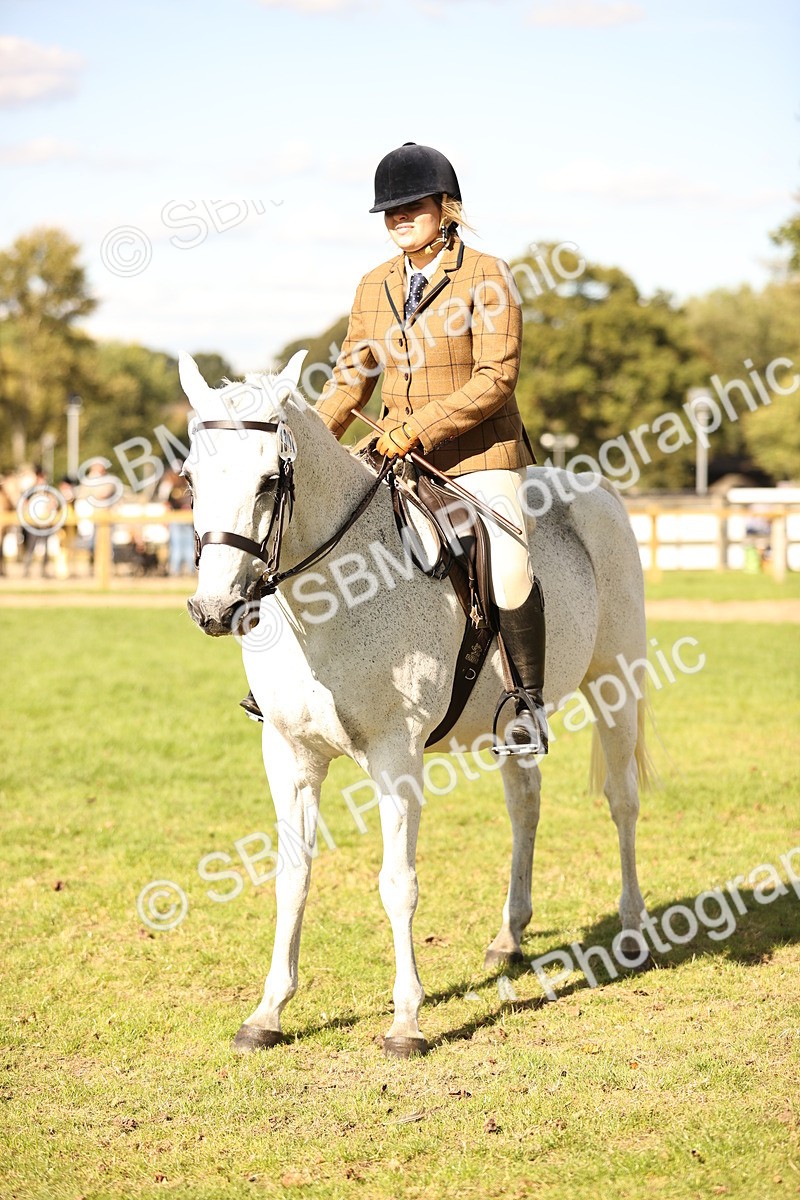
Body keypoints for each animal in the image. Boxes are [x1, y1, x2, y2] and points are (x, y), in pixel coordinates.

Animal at [179, 350, 652, 1057]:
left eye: (270, 480)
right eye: (190, 476)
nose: (214, 610)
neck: (333, 597)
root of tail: (594, 489)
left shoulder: (395, 757)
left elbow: (398, 884)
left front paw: (406, 1021)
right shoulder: (289, 756)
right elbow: (292, 877)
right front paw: (268, 1012)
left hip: (616, 684)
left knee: (622, 801)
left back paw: (632, 928)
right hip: (514, 724)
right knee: (525, 808)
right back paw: (510, 937)